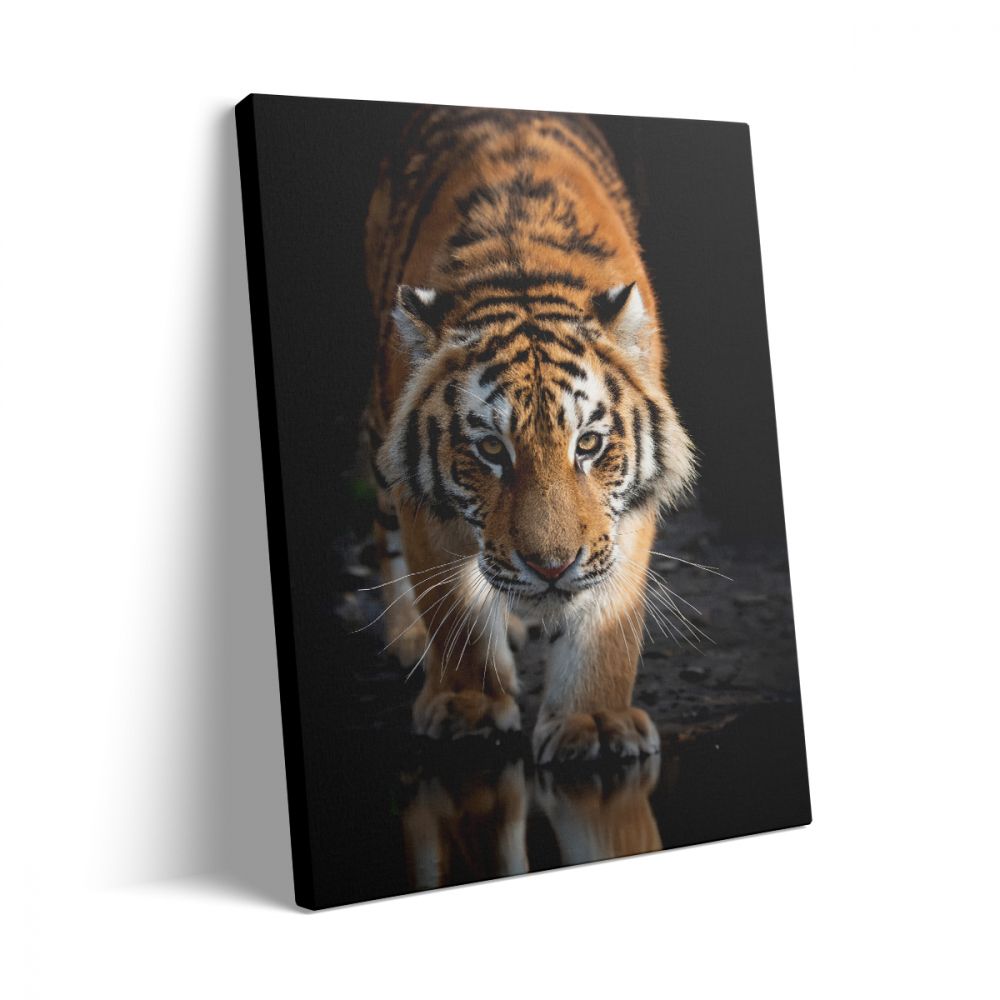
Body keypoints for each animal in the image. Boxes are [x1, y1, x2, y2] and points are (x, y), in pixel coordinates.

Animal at [363, 106, 696, 763]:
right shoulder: (425, 508)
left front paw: (596, 721)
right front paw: (467, 706)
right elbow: (454, 609)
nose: (551, 567)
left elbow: (607, 624)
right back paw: (408, 635)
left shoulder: (622, 513)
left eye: (588, 444)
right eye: (492, 449)